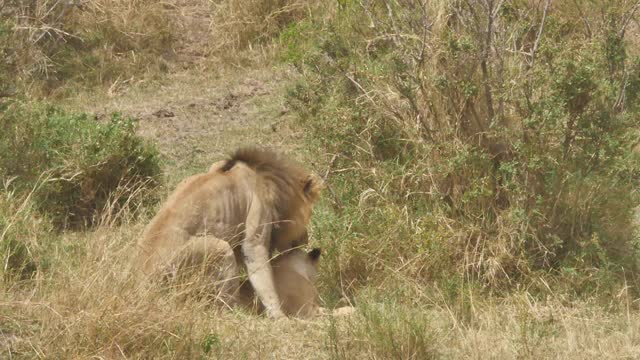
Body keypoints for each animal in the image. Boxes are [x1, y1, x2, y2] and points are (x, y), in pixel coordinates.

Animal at [138, 148, 322, 320]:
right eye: (309, 216)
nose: (305, 240)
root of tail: (143, 278)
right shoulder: (256, 228)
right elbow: (263, 276)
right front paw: (280, 317)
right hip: (219, 248)